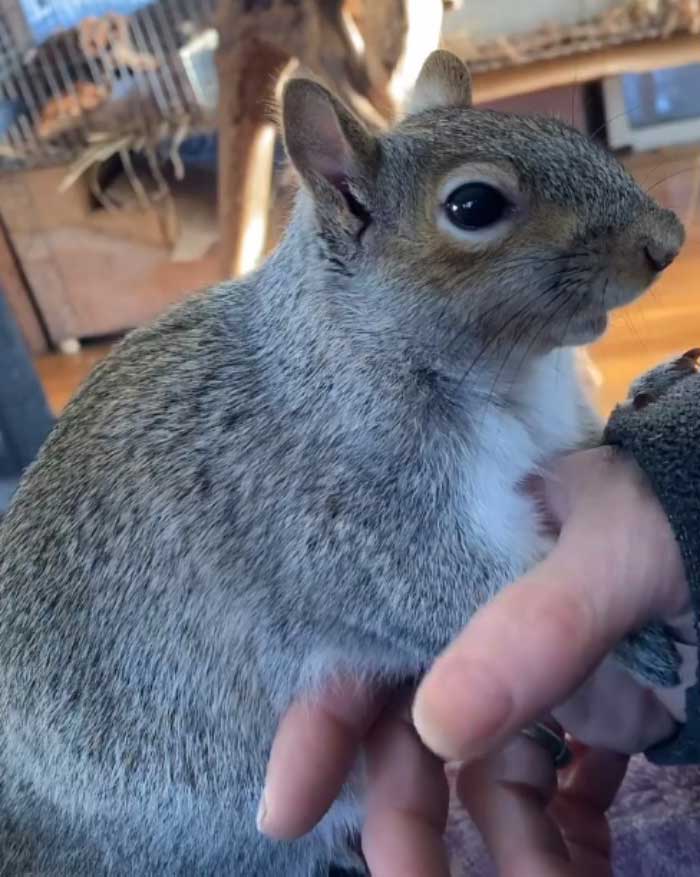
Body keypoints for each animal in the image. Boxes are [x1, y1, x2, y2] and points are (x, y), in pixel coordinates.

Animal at [0, 51, 685, 875]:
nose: (669, 238)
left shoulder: (555, 435)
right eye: (474, 205)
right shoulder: (347, 517)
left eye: (563, 132)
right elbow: (447, 589)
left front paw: (652, 394)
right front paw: (631, 641)